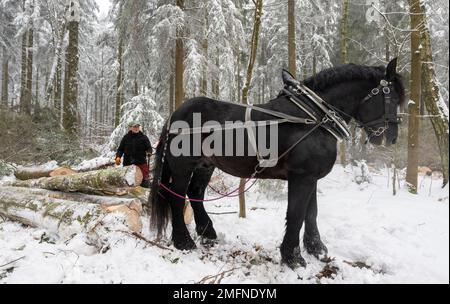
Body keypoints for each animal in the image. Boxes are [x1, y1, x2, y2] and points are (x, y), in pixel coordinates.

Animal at [149, 59, 406, 268]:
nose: (392, 137)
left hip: (205, 165)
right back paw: (183, 241)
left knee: (195, 194)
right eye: (391, 97)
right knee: (176, 197)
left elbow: (311, 213)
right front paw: (292, 257)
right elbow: (296, 214)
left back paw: (207, 232)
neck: (315, 118)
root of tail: (176, 114)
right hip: (183, 166)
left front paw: (316, 249)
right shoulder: (301, 177)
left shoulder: (311, 177)